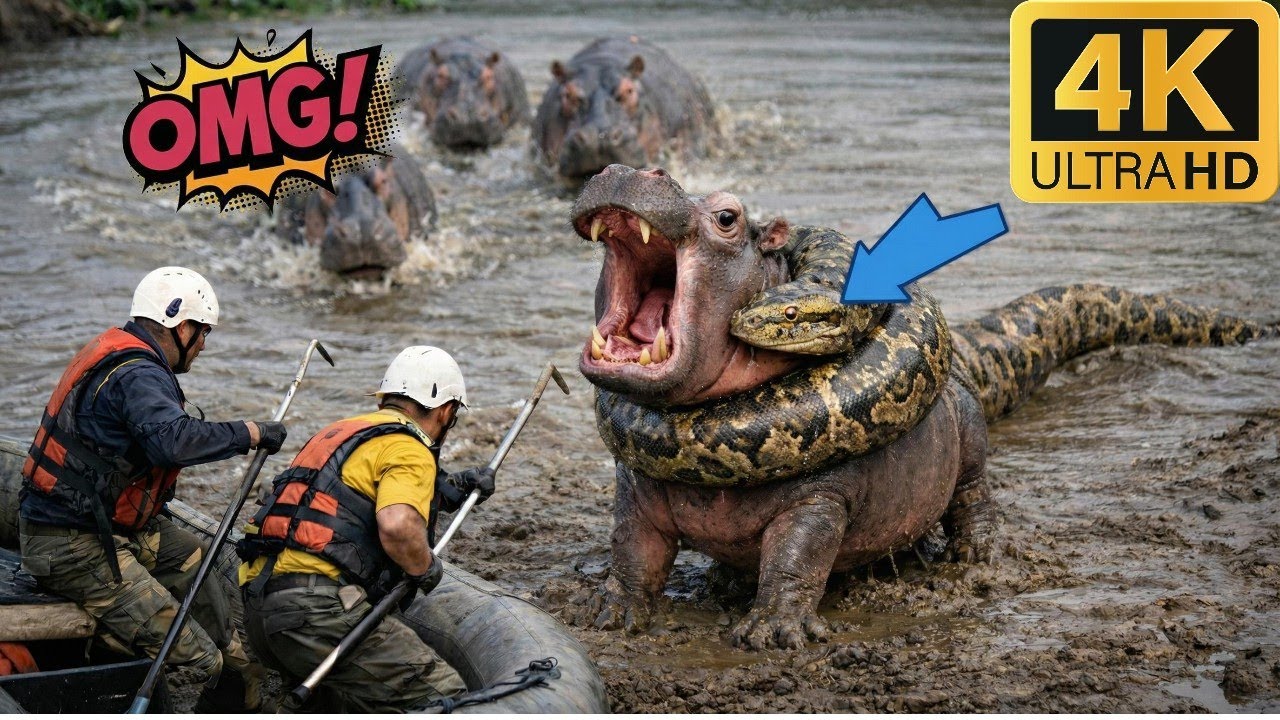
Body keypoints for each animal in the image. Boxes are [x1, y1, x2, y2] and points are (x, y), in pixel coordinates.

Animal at [571, 164, 1278, 650]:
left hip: (963, 422)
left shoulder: (823, 497)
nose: (629, 171)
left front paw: (773, 628)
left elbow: (798, 557)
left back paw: (976, 554)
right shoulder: (638, 486)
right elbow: (632, 548)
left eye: (727, 217)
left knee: (974, 488)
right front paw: (613, 610)